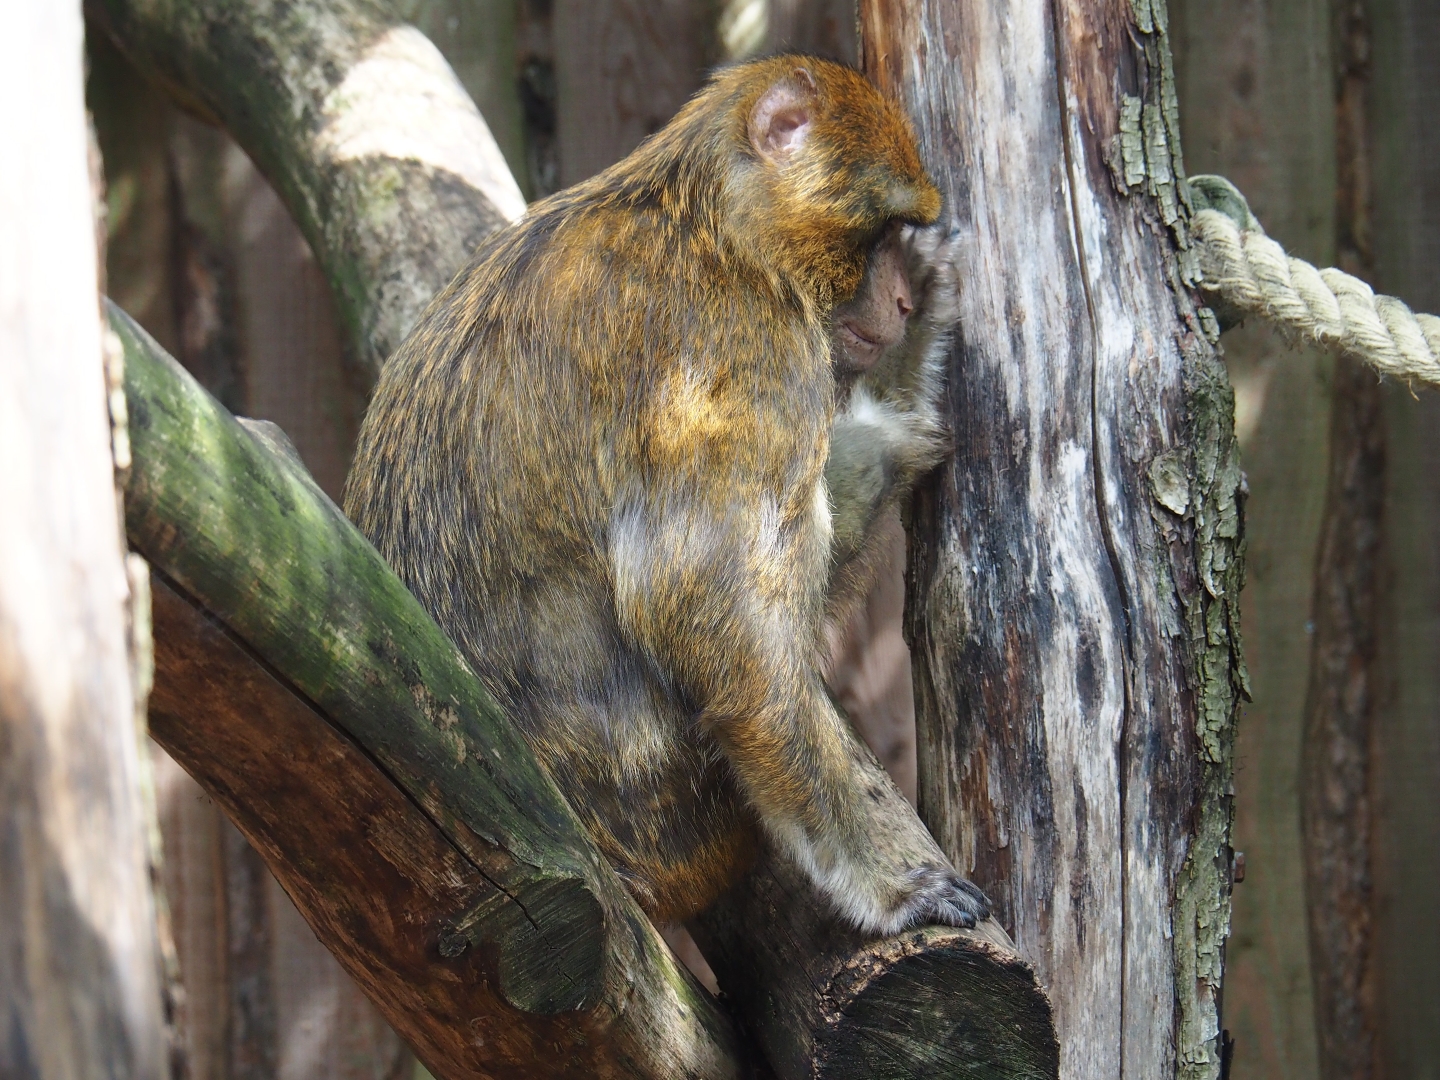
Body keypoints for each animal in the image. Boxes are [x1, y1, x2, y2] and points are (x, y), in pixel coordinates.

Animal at [344, 55, 990, 936]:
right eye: (882, 232)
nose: (896, 303)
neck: (712, 222)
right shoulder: (743, 344)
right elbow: (712, 621)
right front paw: (884, 885)